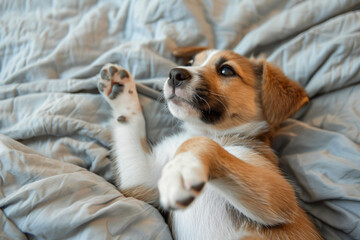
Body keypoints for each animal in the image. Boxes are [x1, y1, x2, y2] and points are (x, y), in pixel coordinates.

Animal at [95, 47, 320, 240]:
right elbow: (131, 121)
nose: (175, 74)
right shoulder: (140, 174)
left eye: (226, 70)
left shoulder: (281, 197)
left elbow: (200, 143)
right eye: (190, 62)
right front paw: (120, 89)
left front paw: (182, 167)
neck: (211, 132)